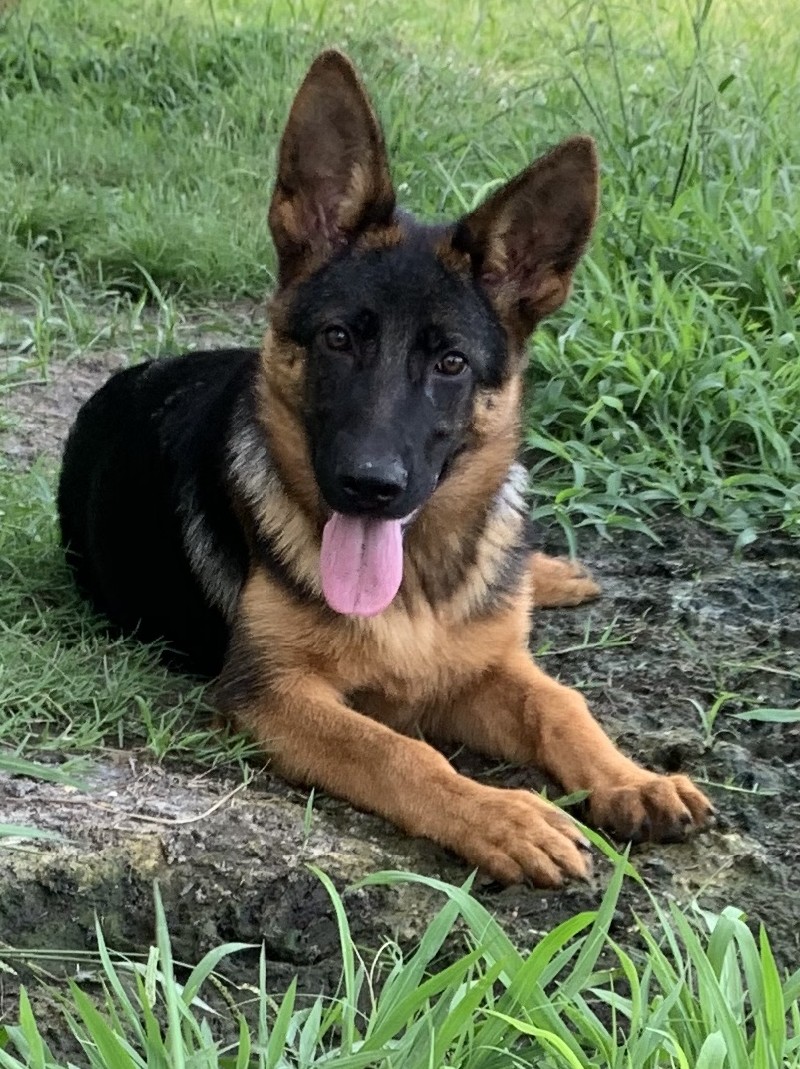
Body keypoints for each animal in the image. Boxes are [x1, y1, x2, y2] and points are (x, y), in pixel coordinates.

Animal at [60, 52, 714, 885]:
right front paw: (503, 815)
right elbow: (399, 750)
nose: (370, 486)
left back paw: (548, 573)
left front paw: (633, 778)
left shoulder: (488, 669)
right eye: (339, 338)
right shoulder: (268, 693)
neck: (417, 587)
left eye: (450, 362)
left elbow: (561, 705)